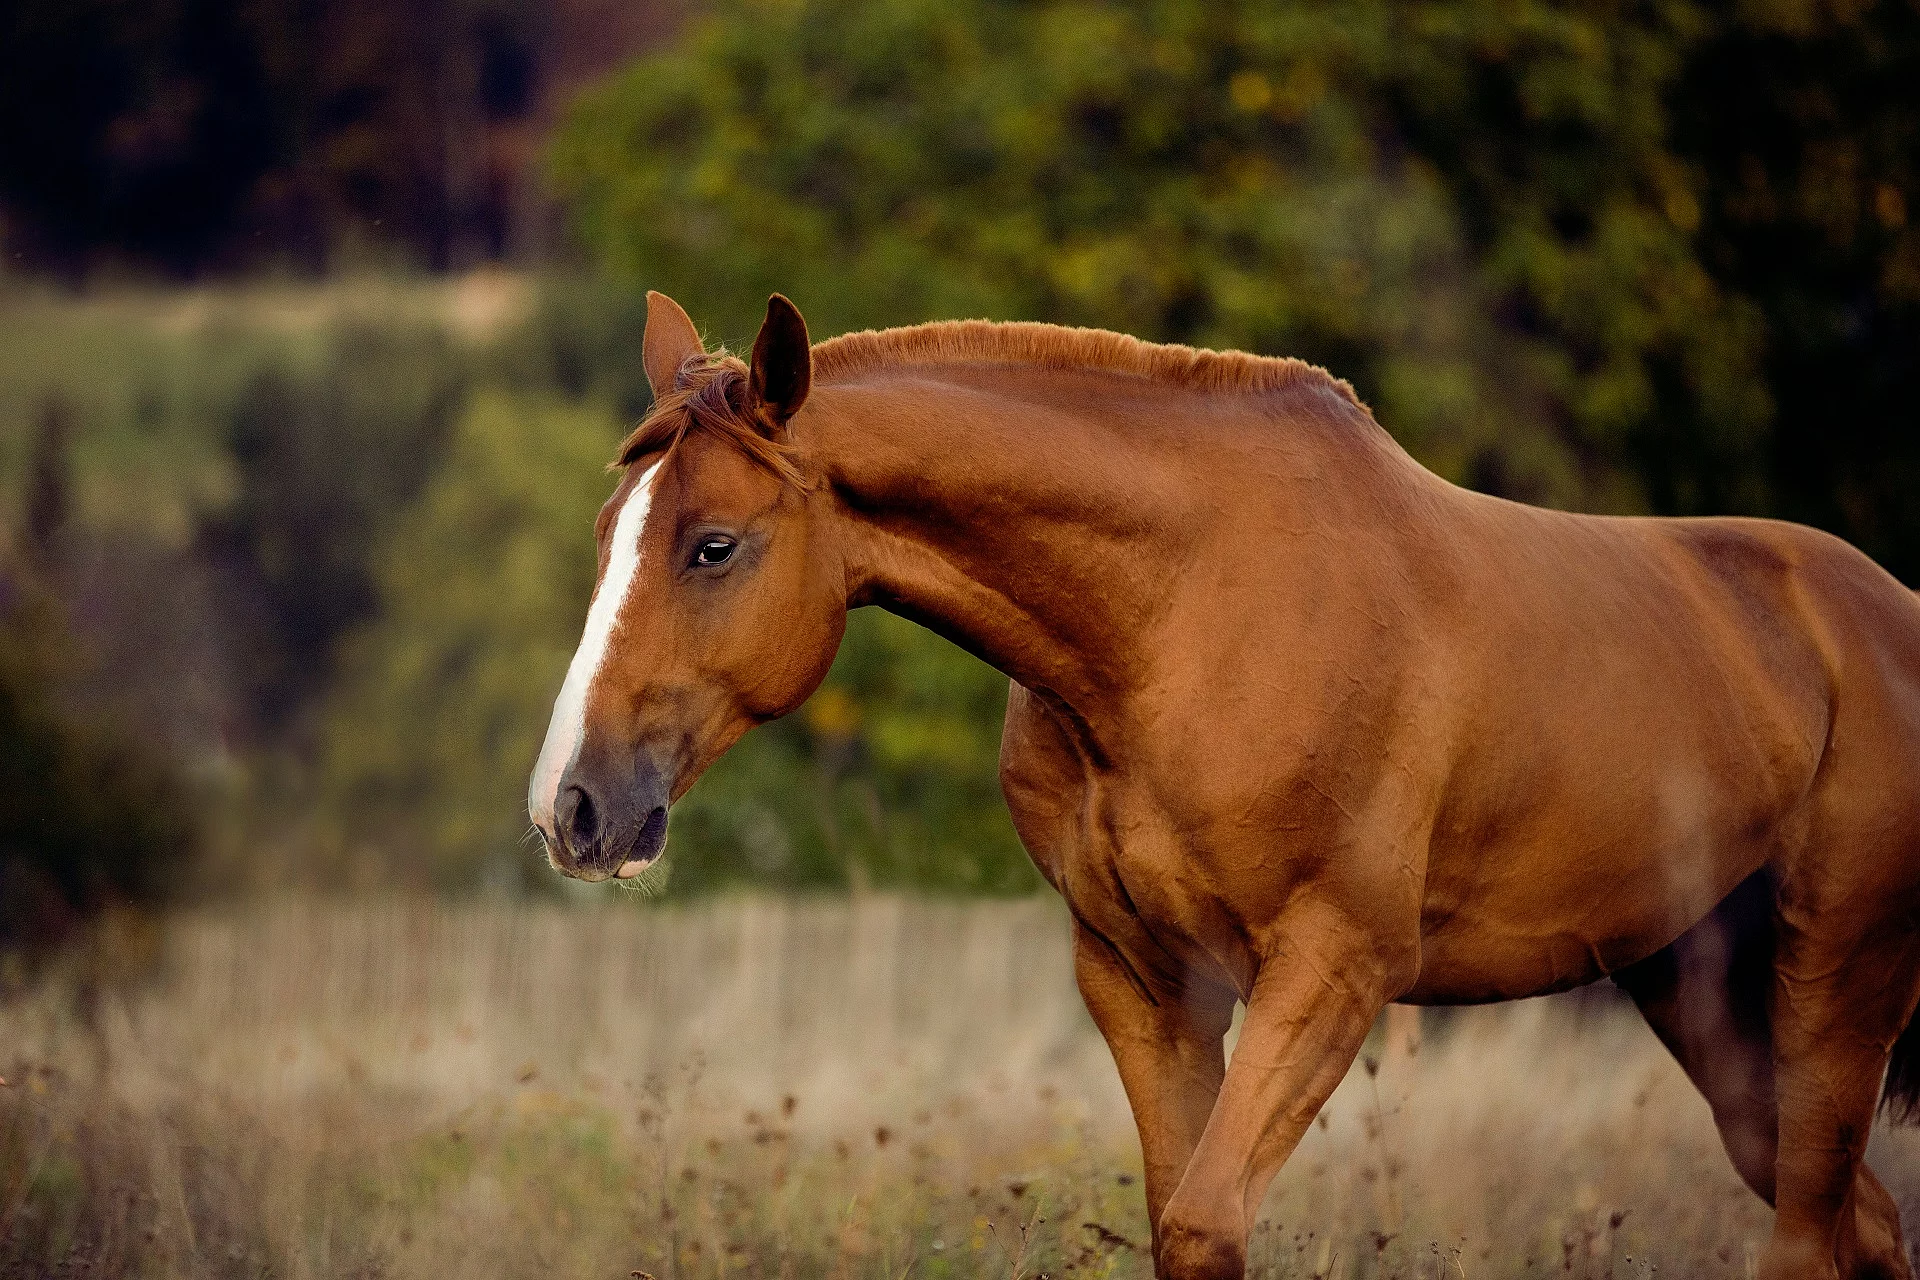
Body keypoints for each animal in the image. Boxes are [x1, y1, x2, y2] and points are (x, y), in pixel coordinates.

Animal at [529, 291, 1920, 1280]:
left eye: (714, 545)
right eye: (606, 534)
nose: (570, 807)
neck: (1182, 616)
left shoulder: (1332, 971)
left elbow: (1204, 1225)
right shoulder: (1145, 981)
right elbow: (1177, 1224)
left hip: (1838, 982)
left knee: (1814, 1233)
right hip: (1706, 994)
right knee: (1861, 1223)